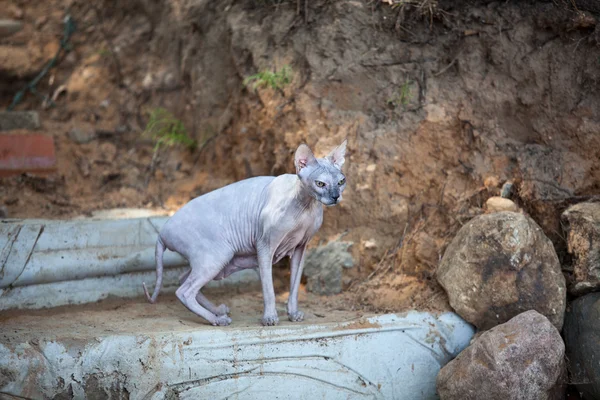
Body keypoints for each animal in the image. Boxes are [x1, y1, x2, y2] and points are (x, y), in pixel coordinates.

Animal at [143, 140, 346, 324]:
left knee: (182, 278)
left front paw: (293, 314)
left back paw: (217, 310)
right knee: (184, 291)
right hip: (220, 254)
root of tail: (162, 233)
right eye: (320, 184)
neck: (305, 206)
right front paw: (269, 318)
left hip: (217, 262)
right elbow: (268, 288)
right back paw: (217, 319)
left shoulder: (300, 248)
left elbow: (294, 286)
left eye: (341, 182)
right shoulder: (264, 246)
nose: (336, 197)